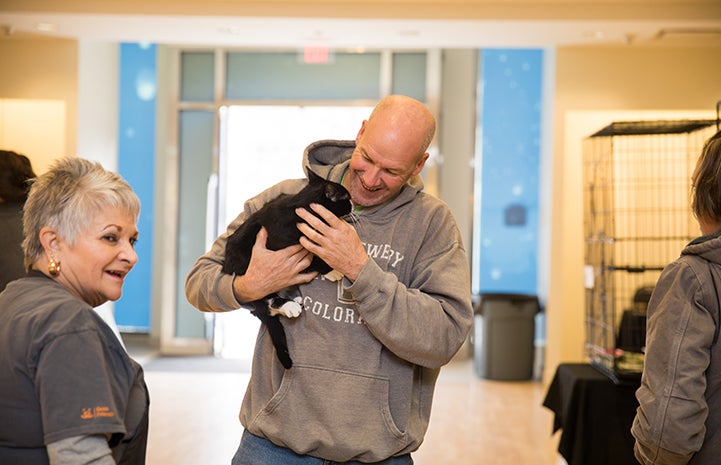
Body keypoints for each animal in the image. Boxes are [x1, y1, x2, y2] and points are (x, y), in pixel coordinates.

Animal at [222, 171, 352, 370]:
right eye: (346, 199)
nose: (353, 205)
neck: (300, 205)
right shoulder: (282, 245)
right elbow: (312, 258)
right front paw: (332, 270)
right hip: (249, 273)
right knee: (265, 305)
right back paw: (289, 306)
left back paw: (295, 298)